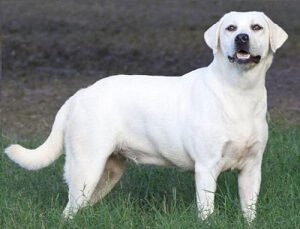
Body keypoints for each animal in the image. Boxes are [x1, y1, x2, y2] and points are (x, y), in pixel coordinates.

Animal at [4, 11, 286, 224]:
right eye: (230, 28)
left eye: (256, 27)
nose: (242, 38)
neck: (239, 92)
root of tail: (80, 94)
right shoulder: (207, 167)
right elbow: (206, 211)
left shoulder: (251, 169)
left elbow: (249, 211)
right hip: (86, 167)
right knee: (68, 210)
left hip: (107, 172)